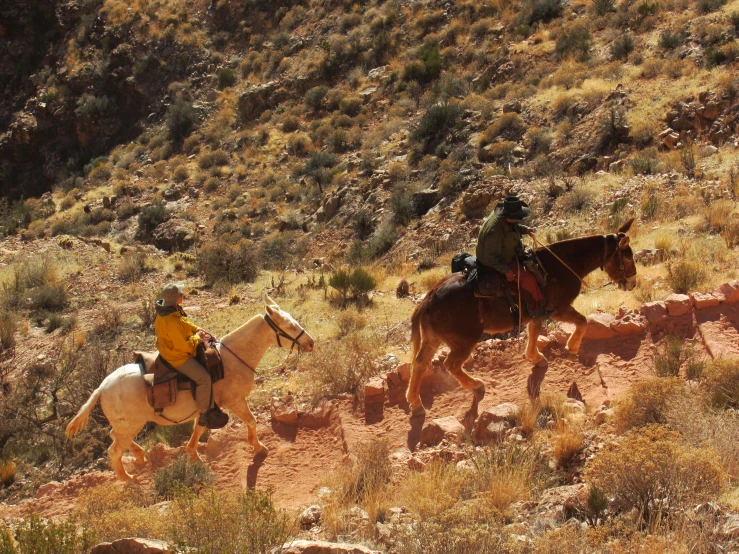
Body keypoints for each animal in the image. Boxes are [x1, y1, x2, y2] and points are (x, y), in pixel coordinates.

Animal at [64, 294, 316, 478]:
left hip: (125, 426)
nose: (311, 342)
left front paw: (193, 454)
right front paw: (259, 447)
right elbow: (251, 421)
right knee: (114, 450)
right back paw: (128, 479)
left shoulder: (207, 407)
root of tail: (102, 387)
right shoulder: (234, 401)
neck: (232, 359)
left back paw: (139, 455)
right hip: (130, 426)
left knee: (113, 436)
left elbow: (198, 429)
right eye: (290, 326)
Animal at [404, 217, 636, 414]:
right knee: (451, 364)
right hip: (464, 340)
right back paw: (477, 385)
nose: (632, 283)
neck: (562, 265)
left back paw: (415, 403)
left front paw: (536, 358)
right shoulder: (559, 309)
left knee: (420, 364)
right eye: (627, 256)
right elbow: (582, 321)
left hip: (433, 338)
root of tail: (429, 298)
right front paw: (571, 348)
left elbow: (534, 332)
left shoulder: (538, 313)